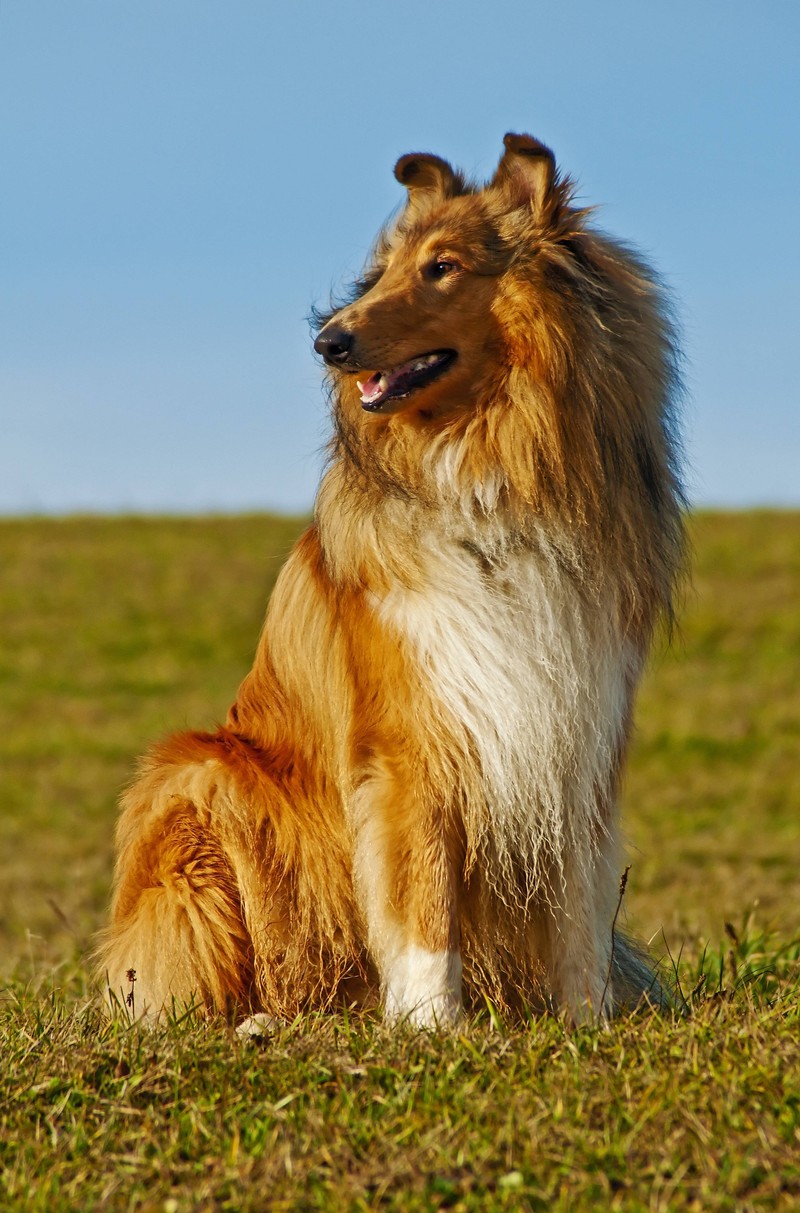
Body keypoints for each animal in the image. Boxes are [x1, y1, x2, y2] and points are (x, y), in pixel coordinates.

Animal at [98, 135, 688, 1023]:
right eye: (381, 275)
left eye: (442, 267)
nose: (328, 342)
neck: (491, 470)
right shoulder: (412, 736)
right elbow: (423, 896)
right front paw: (432, 1025)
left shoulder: (574, 730)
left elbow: (578, 904)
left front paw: (588, 1022)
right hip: (202, 784)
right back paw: (264, 1020)